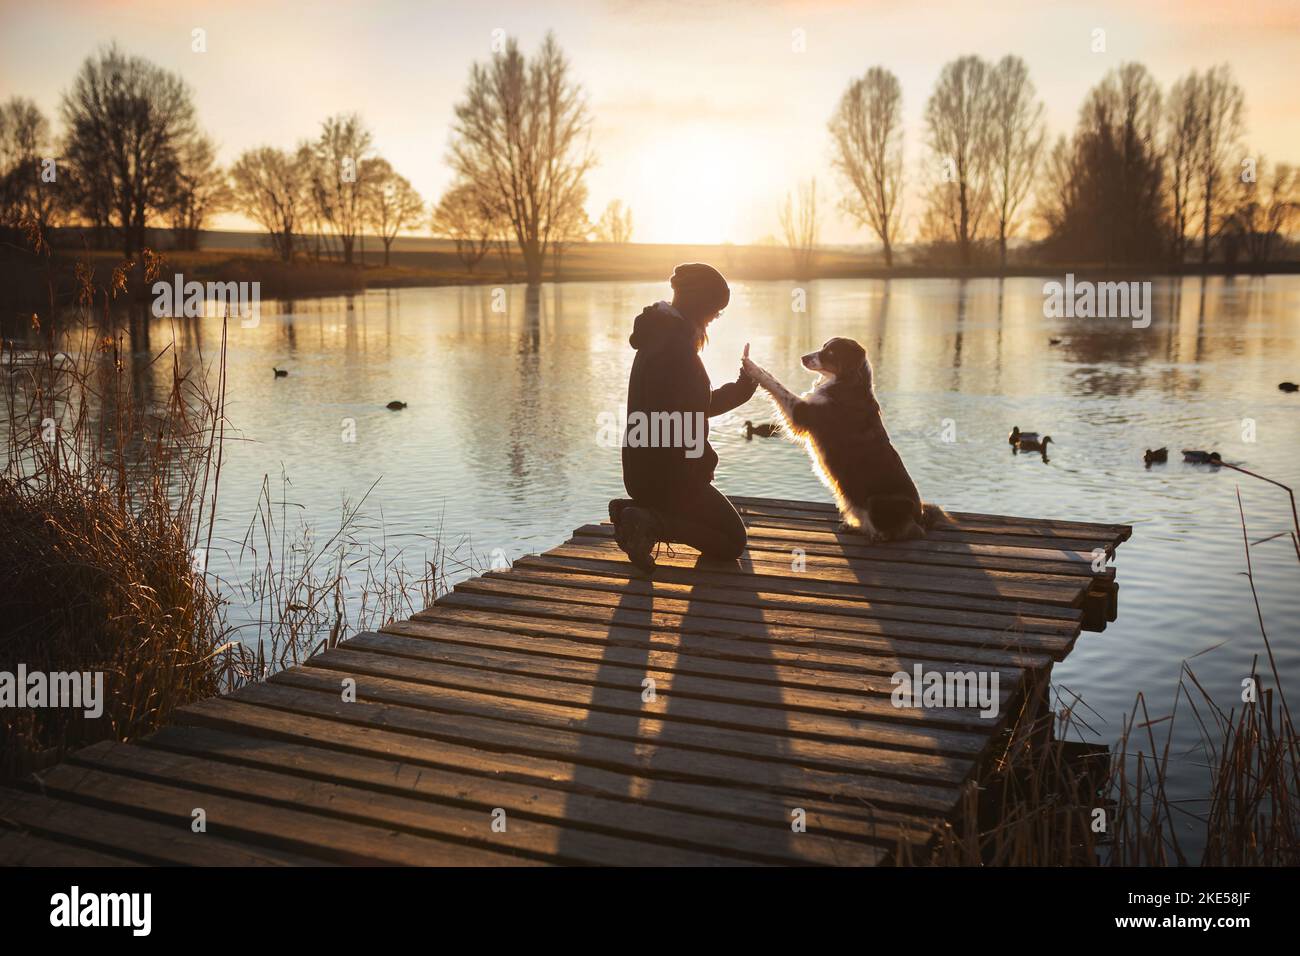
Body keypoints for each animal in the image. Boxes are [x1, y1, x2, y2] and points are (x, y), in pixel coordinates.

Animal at [743, 338, 946, 541]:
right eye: (824, 347)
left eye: (831, 352)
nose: (804, 357)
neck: (846, 382)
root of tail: (920, 517)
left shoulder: (801, 412)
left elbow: (775, 384)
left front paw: (751, 366)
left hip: (878, 501)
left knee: (906, 531)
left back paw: (879, 535)